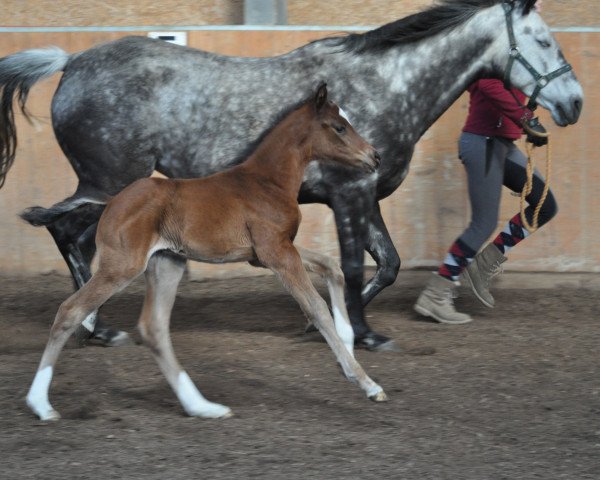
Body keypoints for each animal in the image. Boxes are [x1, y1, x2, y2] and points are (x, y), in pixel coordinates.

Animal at [0, 1, 580, 350]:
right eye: (544, 41)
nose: (573, 103)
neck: (385, 86)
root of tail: (71, 62)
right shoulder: (350, 194)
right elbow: (354, 265)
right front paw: (362, 334)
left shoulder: (366, 196)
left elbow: (388, 264)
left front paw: (322, 324)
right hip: (107, 183)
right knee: (67, 232)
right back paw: (95, 327)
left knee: (69, 235)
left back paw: (95, 326)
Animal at [25, 85, 386, 420]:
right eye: (339, 127)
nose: (375, 157)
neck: (267, 181)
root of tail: (112, 201)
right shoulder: (276, 253)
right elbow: (317, 308)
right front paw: (367, 384)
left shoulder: (267, 253)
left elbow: (332, 267)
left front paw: (349, 351)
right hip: (121, 266)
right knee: (71, 310)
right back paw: (41, 404)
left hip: (166, 262)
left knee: (154, 328)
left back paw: (202, 407)